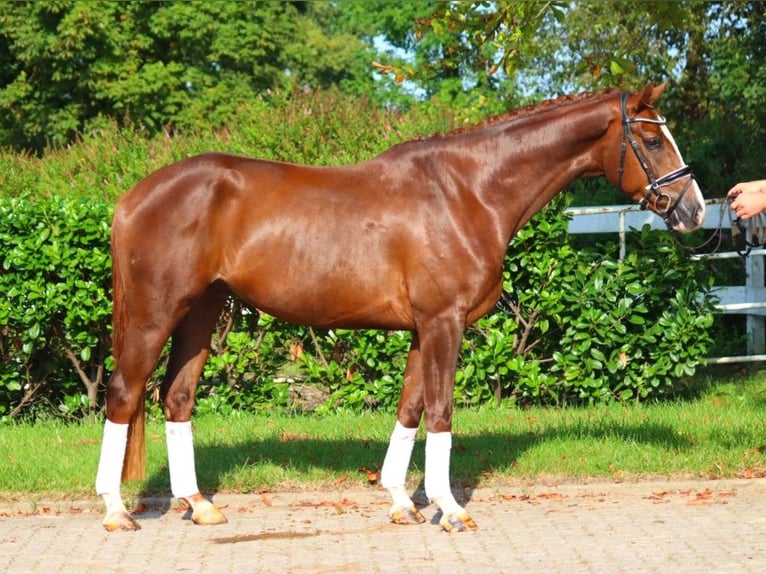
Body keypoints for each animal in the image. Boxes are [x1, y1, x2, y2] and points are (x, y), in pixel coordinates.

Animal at [96, 83, 708, 532]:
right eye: (653, 141)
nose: (695, 210)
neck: (469, 191)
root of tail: (133, 197)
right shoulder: (444, 323)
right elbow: (440, 412)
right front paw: (452, 509)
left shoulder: (423, 328)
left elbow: (410, 408)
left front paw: (401, 501)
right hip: (156, 312)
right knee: (124, 394)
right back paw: (116, 511)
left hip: (202, 311)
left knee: (176, 398)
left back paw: (199, 504)